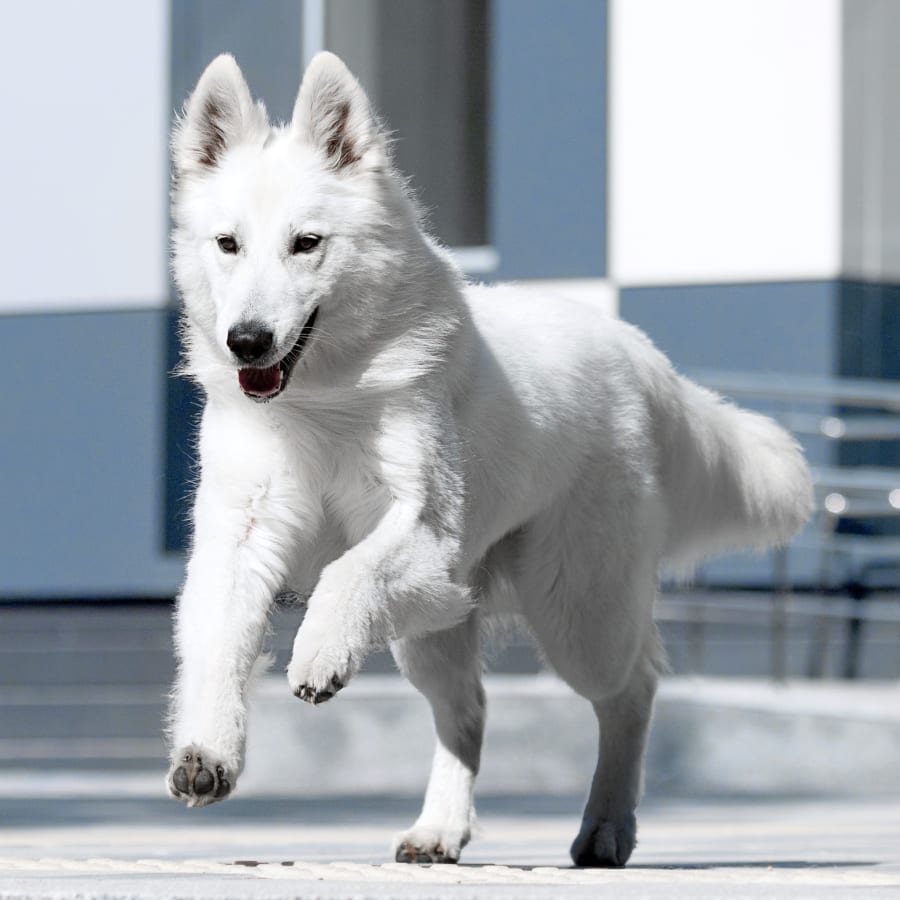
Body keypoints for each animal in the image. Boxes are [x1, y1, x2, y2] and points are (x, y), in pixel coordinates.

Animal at [163, 49, 816, 864]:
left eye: (306, 243)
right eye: (228, 245)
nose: (246, 342)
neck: (326, 398)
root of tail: (638, 353)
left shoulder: (423, 534)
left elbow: (347, 574)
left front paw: (316, 651)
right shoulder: (241, 540)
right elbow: (220, 647)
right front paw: (207, 752)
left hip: (575, 612)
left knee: (633, 686)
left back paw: (607, 826)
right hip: (437, 625)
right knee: (469, 711)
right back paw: (442, 828)